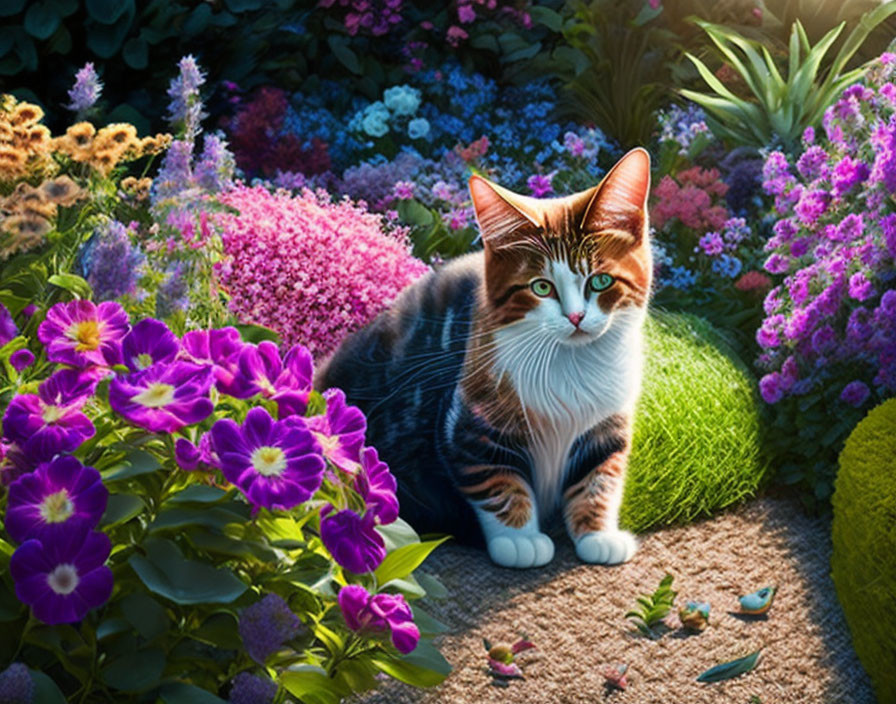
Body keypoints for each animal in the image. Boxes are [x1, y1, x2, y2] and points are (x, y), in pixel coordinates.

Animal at [316, 147, 652, 568]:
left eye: (601, 281)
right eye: (541, 287)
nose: (575, 317)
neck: (570, 362)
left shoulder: (609, 419)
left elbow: (601, 475)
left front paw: (598, 534)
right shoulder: (469, 421)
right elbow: (495, 479)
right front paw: (520, 540)